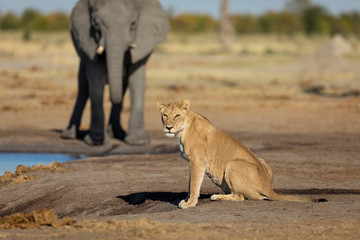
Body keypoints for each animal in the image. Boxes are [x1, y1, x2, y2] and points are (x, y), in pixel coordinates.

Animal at [60, 0, 170, 144]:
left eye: (133, 23)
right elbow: (96, 80)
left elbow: (137, 79)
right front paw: (96, 142)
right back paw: (68, 136)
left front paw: (139, 142)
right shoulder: (89, 44)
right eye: (96, 24)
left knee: (123, 87)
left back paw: (117, 133)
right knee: (83, 88)